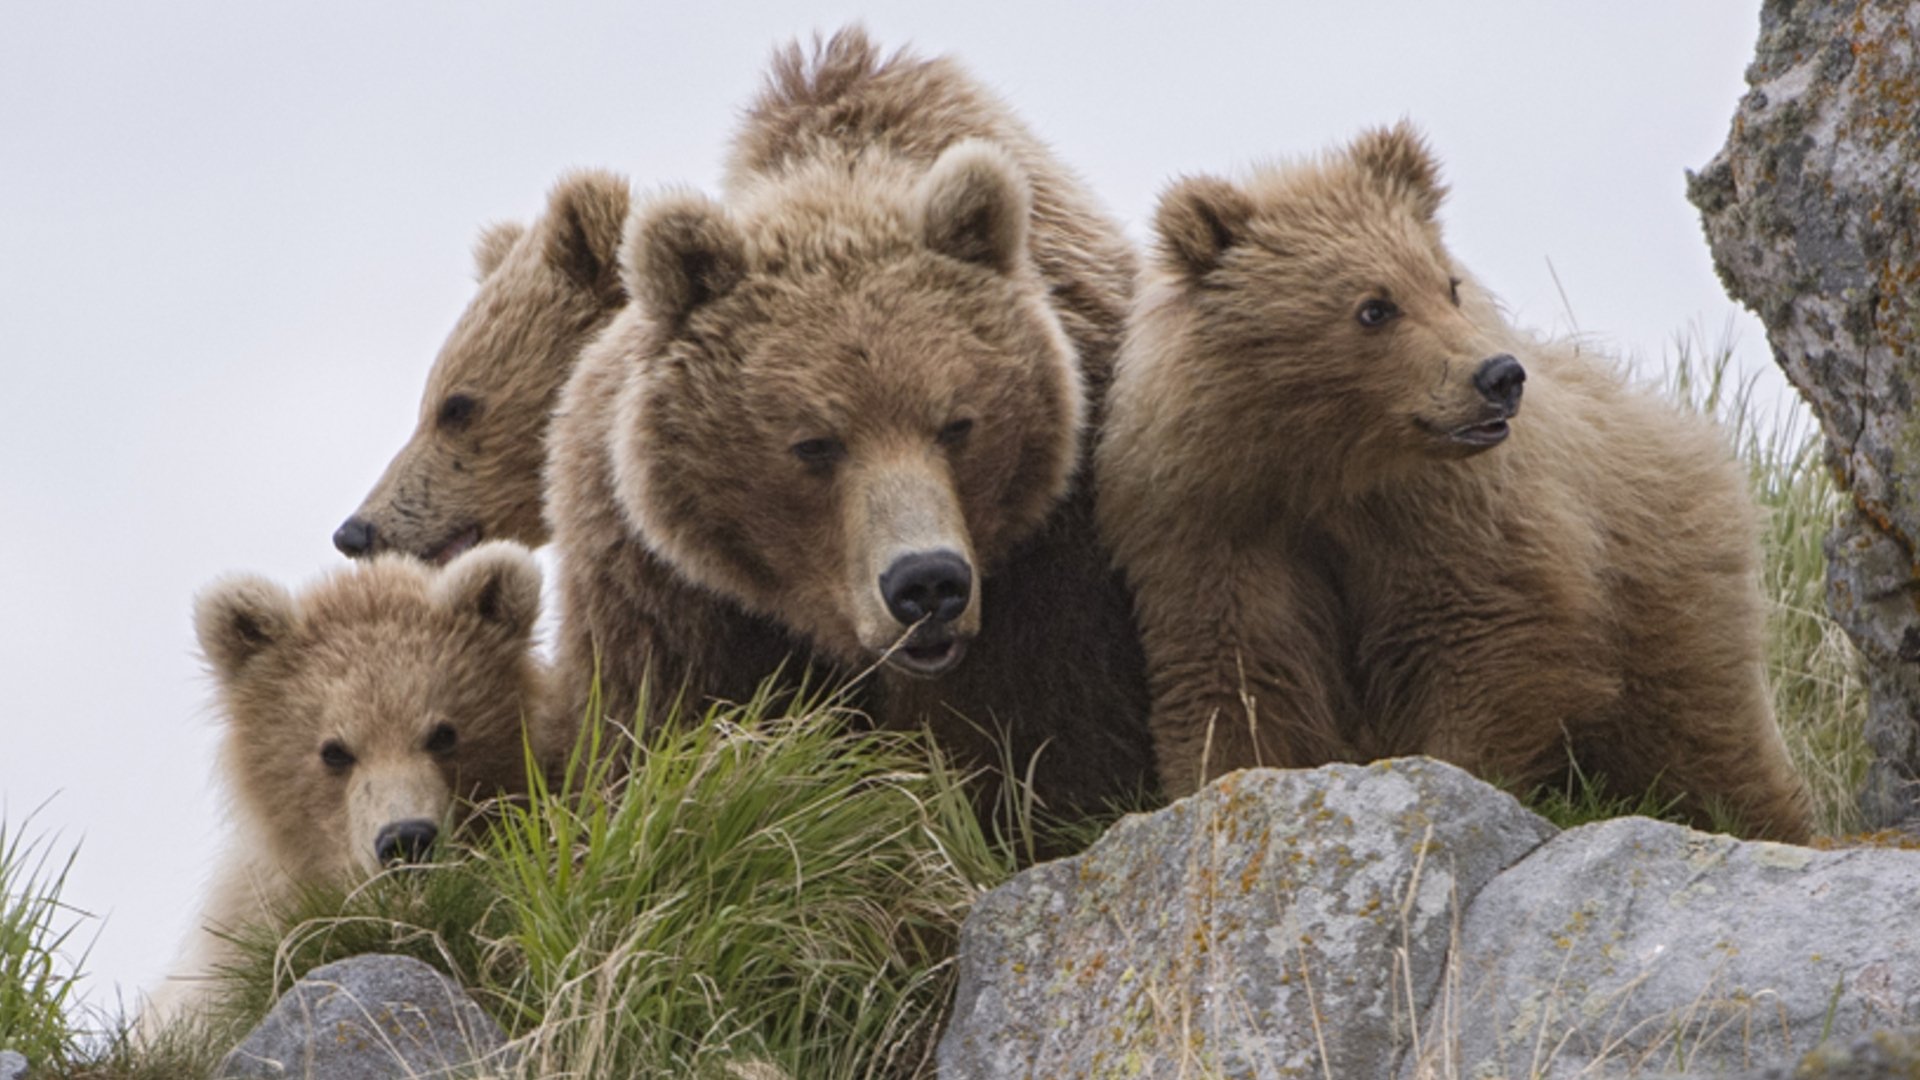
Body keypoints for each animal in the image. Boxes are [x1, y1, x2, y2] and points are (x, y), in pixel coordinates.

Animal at [544, 27, 1155, 815]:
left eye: (957, 423)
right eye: (814, 443)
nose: (927, 583)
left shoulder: (1054, 568)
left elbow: (1056, 747)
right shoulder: (668, 592)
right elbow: (660, 733)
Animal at [1095, 122, 1813, 842]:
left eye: (1447, 284)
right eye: (1374, 307)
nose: (1499, 375)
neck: (1328, 468)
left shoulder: (1450, 513)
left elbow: (1479, 637)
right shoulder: (1217, 523)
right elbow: (1239, 672)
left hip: (1665, 595)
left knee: (1704, 736)